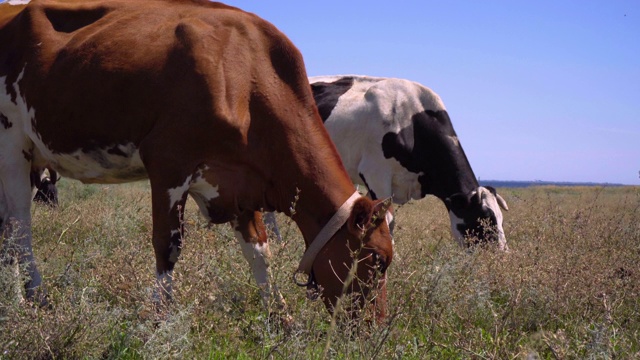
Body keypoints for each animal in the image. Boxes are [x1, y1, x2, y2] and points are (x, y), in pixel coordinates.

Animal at [0, 0, 392, 320]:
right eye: (377, 259)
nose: (374, 326)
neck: (244, 76)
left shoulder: (237, 184)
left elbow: (259, 251)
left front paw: (280, 319)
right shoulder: (169, 163)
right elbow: (168, 245)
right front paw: (162, 319)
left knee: (6, 230)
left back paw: (14, 300)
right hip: (11, 144)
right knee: (19, 229)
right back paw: (35, 298)